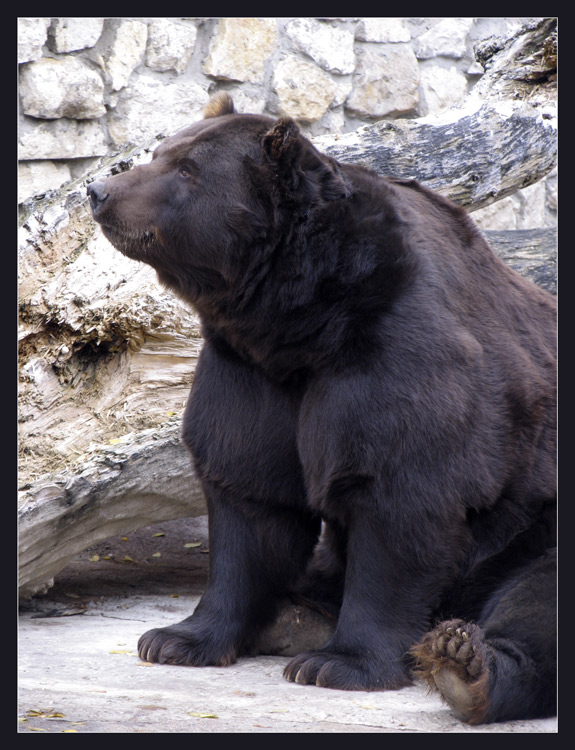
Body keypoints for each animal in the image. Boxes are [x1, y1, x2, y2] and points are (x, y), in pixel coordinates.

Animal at [88, 91, 556, 724]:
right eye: (161, 153)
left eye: (187, 169)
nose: (99, 191)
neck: (301, 320)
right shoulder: (251, 373)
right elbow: (248, 496)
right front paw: (177, 638)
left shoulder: (394, 350)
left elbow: (396, 494)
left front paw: (339, 664)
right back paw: (293, 618)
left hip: (533, 530)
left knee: (538, 603)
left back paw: (463, 665)